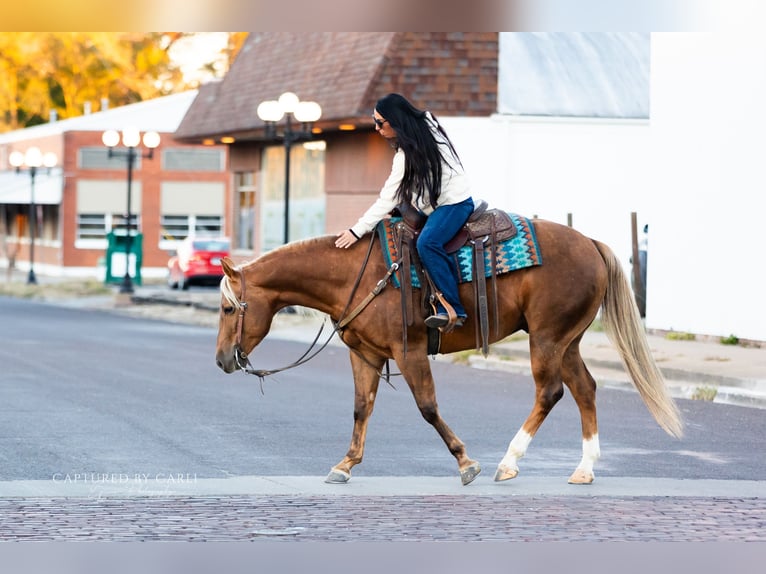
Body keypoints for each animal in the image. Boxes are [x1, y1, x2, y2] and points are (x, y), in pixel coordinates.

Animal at [215, 217, 683, 486]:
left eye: (227, 308)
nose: (221, 360)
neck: (356, 274)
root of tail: (589, 242)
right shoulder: (366, 354)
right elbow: (361, 408)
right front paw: (345, 465)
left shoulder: (410, 353)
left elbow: (427, 407)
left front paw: (465, 462)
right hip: (567, 341)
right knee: (585, 389)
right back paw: (584, 469)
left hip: (547, 338)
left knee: (550, 392)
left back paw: (508, 461)